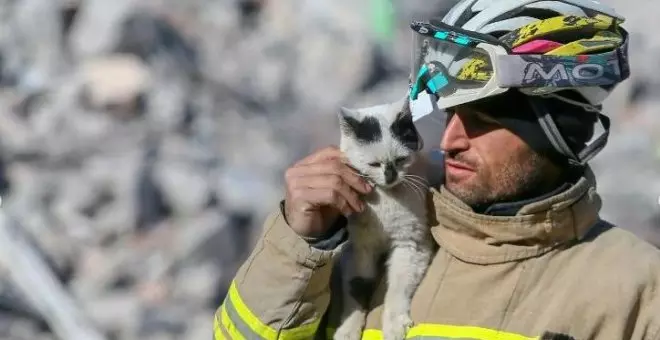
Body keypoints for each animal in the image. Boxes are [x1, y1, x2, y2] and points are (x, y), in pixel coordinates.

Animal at [332, 96, 436, 340]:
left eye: (400, 160)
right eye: (374, 164)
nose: (390, 175)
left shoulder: (411, 244)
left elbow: (397, 288)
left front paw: (394, 325)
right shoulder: (357, 250)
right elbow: (356, 291)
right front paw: (347, 329)